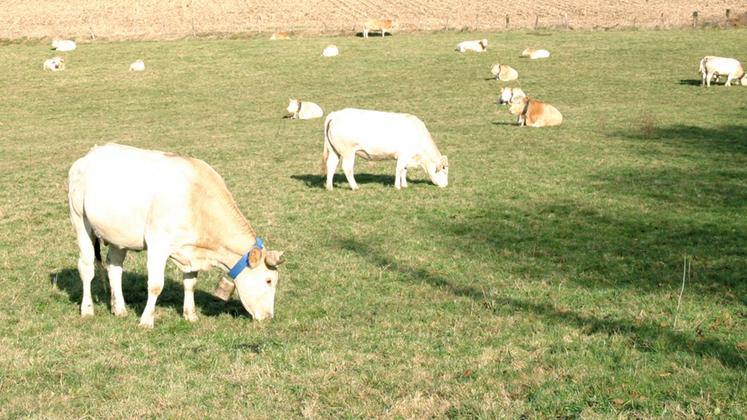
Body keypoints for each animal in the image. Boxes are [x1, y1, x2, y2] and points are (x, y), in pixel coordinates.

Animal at [68, 144, 286, 328]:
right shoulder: (158, 244)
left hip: (118, 235)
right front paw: (146, 321)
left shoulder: (191, 249)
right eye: (269, 280)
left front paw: (191, 315)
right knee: (86, 267)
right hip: (80, 219)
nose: (269, 317)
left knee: (114, 267)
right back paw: (87, 310)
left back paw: (119, 309)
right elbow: (156, 285)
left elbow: (190, 283)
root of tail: (91, 153)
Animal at [322, 110, 450, 192]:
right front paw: (397, 187)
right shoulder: (404, 155)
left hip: (334, 151)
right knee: (347, 168)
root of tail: (335, 114)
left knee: (331, 165)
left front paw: (404, 185)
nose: (446, 185)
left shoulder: (407, 158)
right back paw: (355, 187)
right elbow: (399, 169)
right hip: (348, 152)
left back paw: (329, 187)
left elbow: (404, 170)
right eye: (444, 169)